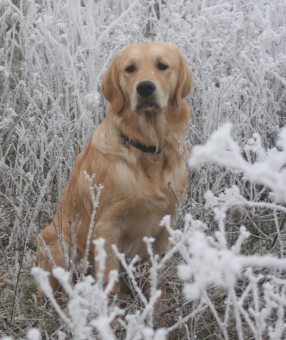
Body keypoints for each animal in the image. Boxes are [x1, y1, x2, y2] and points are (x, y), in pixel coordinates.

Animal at [35, 41, 192, 292]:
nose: (145, 88)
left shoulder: (165, 223)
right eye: (130, 68)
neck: (147, 147)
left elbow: (153, 276)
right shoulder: (106, 228)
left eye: (162, 66)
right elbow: (109, 281)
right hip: (59, 244)